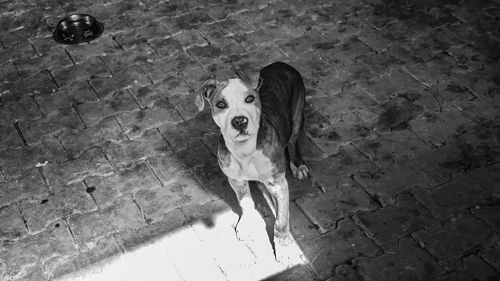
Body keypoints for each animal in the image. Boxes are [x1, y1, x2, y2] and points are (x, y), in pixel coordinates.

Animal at [196, 61, 308, 262]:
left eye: (249, 99)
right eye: (221, 104)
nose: (239, 121)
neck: (245, 151)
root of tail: (281, 63)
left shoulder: (278, 185)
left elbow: (281, 221)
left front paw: (284, 248)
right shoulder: (236, 180)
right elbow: (245, 202)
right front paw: (248, 225)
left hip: (298, 111)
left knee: (293, 139)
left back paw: (298, 165)